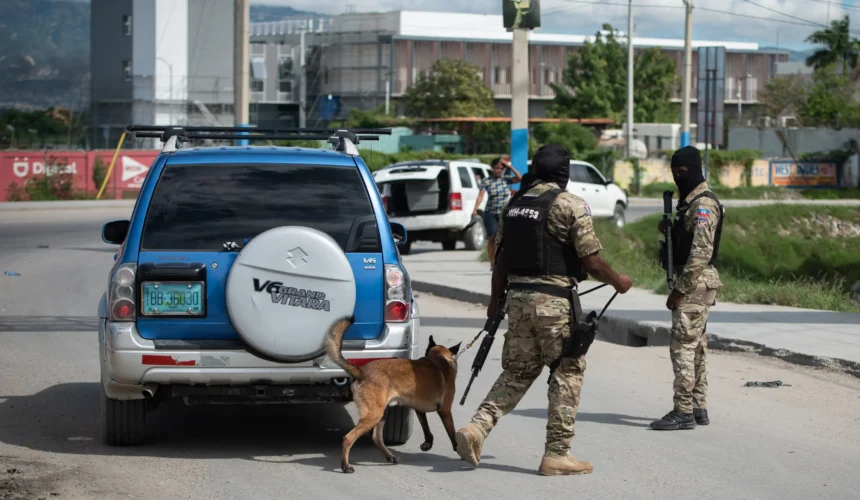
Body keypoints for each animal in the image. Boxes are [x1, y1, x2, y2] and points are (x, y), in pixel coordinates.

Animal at [326, 316, 464, 472]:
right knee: (348, 438)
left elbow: (427, 429)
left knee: (376, 437)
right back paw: (345, 465)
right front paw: (459, 450)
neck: (439, 359)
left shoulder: (420, 410)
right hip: (374, 415)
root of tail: (361, 371)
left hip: (381, 413)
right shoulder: (445, 411)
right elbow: (452, 433)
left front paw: (428, 443)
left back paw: (390, 457)